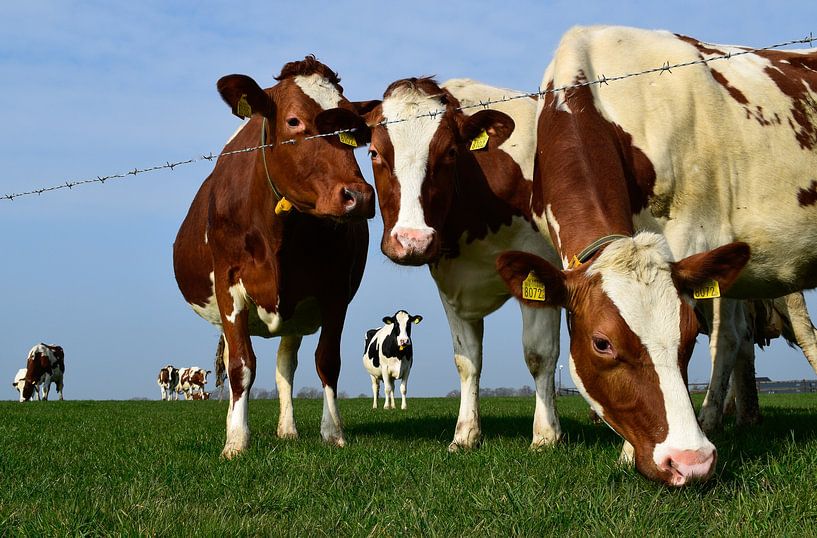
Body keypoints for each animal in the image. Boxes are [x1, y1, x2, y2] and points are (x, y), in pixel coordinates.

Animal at [175, 55, 376, 456]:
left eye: (353, 130)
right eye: (294, 121)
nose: (359, 196)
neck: (279, 234)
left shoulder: (335, 291)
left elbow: (327, 361)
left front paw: (333, 432)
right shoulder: (228, 285)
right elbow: (241, 365)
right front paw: (236, 440)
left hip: (295, 316)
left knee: (286, 365)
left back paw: (287, 429)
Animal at [362, 77, 560, 448]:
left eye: (451, 152)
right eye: (374, 152)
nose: (413, 241)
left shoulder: (538, 269)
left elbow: (539, 355)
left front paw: (546, 435)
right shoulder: (452, 286)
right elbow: (466, 361)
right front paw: (466, 434)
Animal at [494, 26, 816, 486]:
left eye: (688, 335)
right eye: (602, 343)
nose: (690, 460)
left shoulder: (695, 235)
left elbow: (719, 339)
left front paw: (629, 452)